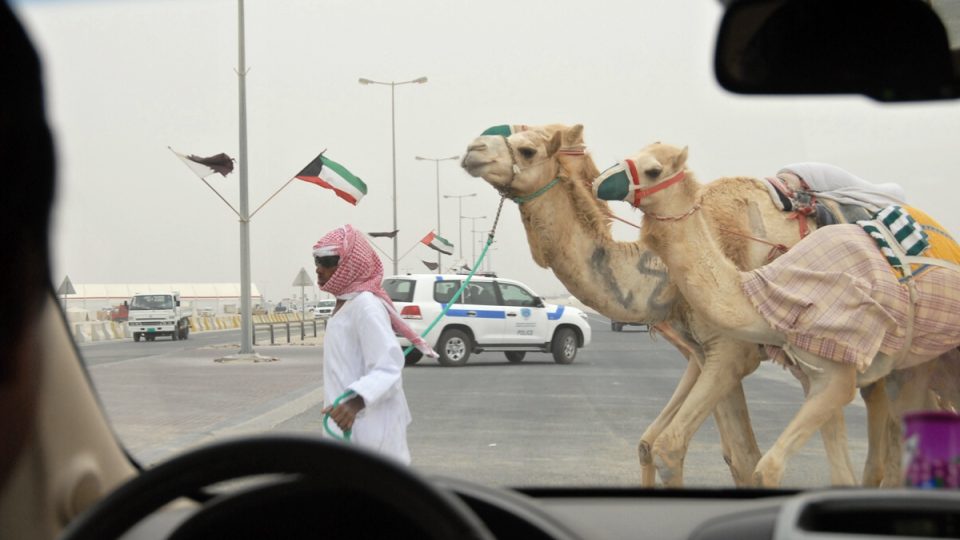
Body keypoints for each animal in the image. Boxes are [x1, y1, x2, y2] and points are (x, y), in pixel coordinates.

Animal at [460, 124, 864, 488]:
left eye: (526, 149)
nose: (472, 149)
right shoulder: (701, 353)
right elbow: (670, 446)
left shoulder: (733, 351)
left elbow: (681, 451)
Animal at [608, 141, 960, 488]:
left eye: (654, 170)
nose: (603, 182)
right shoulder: (812, 375)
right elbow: (834, 473)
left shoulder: (834, 375)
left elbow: (764, 467)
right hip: (915, 367)